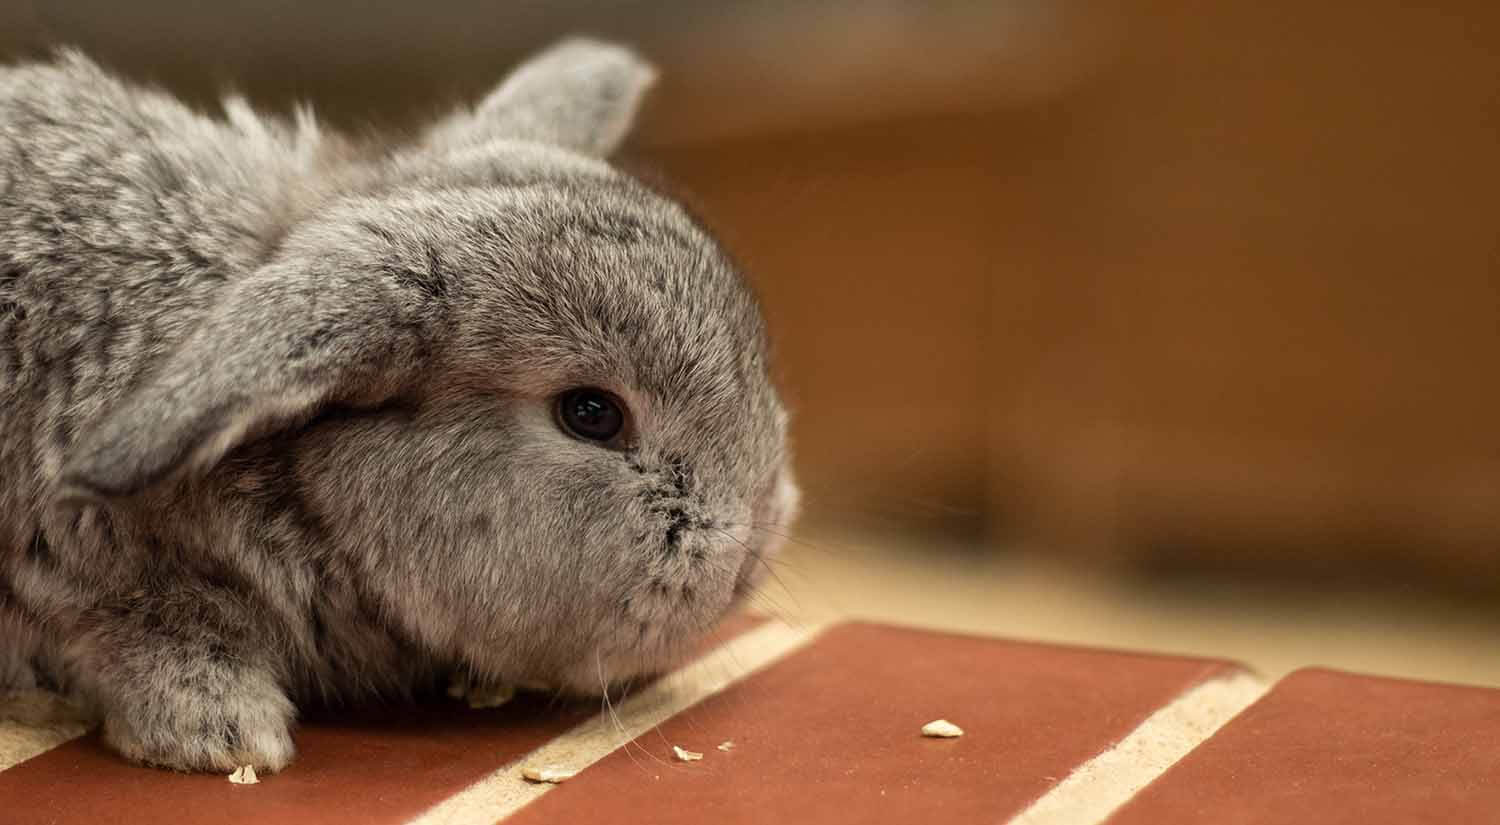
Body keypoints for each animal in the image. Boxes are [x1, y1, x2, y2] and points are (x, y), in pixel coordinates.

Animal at [0, 37, 799, 773]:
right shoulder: (81, 574)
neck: (293, 492)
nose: (749, 554)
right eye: (591, 414)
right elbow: (136, 623)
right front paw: (227, 733)